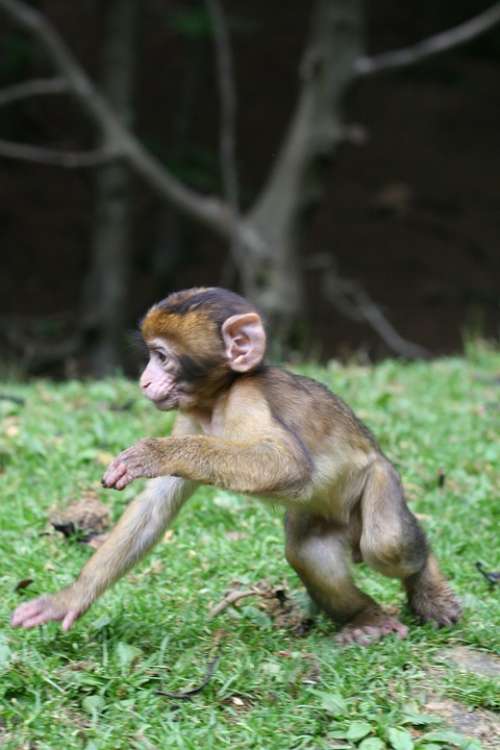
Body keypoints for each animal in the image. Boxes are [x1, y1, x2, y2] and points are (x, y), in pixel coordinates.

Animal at [11, 288, 458, 648]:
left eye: (161, 357)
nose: (143, 381)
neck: (217, 398)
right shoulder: (189, 417)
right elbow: (156, 507)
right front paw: (68, 599)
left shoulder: (247, 398)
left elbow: (288, 463)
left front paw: (154, 454)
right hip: (328, 521)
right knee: (308, 553)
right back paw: (367, 619)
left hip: (381, 479)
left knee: (386, 544)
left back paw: (426, 584)